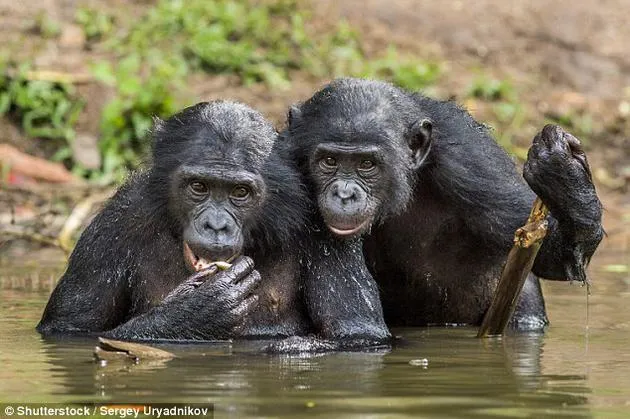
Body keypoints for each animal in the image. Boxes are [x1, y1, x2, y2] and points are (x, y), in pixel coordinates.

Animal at [35, 101, 390, 348]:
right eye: (199, 186)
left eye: (240, 192)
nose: (216, 225)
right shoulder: (112, 227)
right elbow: (69, 329)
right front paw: (194, 311)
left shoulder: (322, 224)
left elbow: (357, 331)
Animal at [284, 77, 604, 330]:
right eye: (329, 161)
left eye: (367, 164)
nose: (345, 193)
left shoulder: (473, 161)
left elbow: (553, 255)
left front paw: (563, 174)